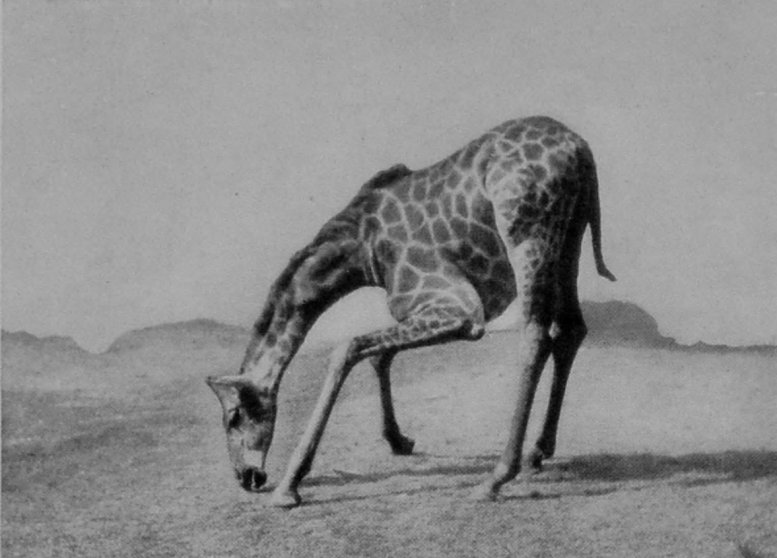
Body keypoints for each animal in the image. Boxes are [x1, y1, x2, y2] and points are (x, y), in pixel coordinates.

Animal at [207, 116, 616, 507]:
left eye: (233, 417)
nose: (247, 478)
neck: (361, 251)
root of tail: (580, 150)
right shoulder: (418, 307)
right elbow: (378, 355)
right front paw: (398, 440)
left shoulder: (460, 308)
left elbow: (346, 349)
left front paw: (289, 485)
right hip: (570, 239)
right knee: (570, 329)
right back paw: (537, 452)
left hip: (527, 235)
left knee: (535, 336)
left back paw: (496, 477)